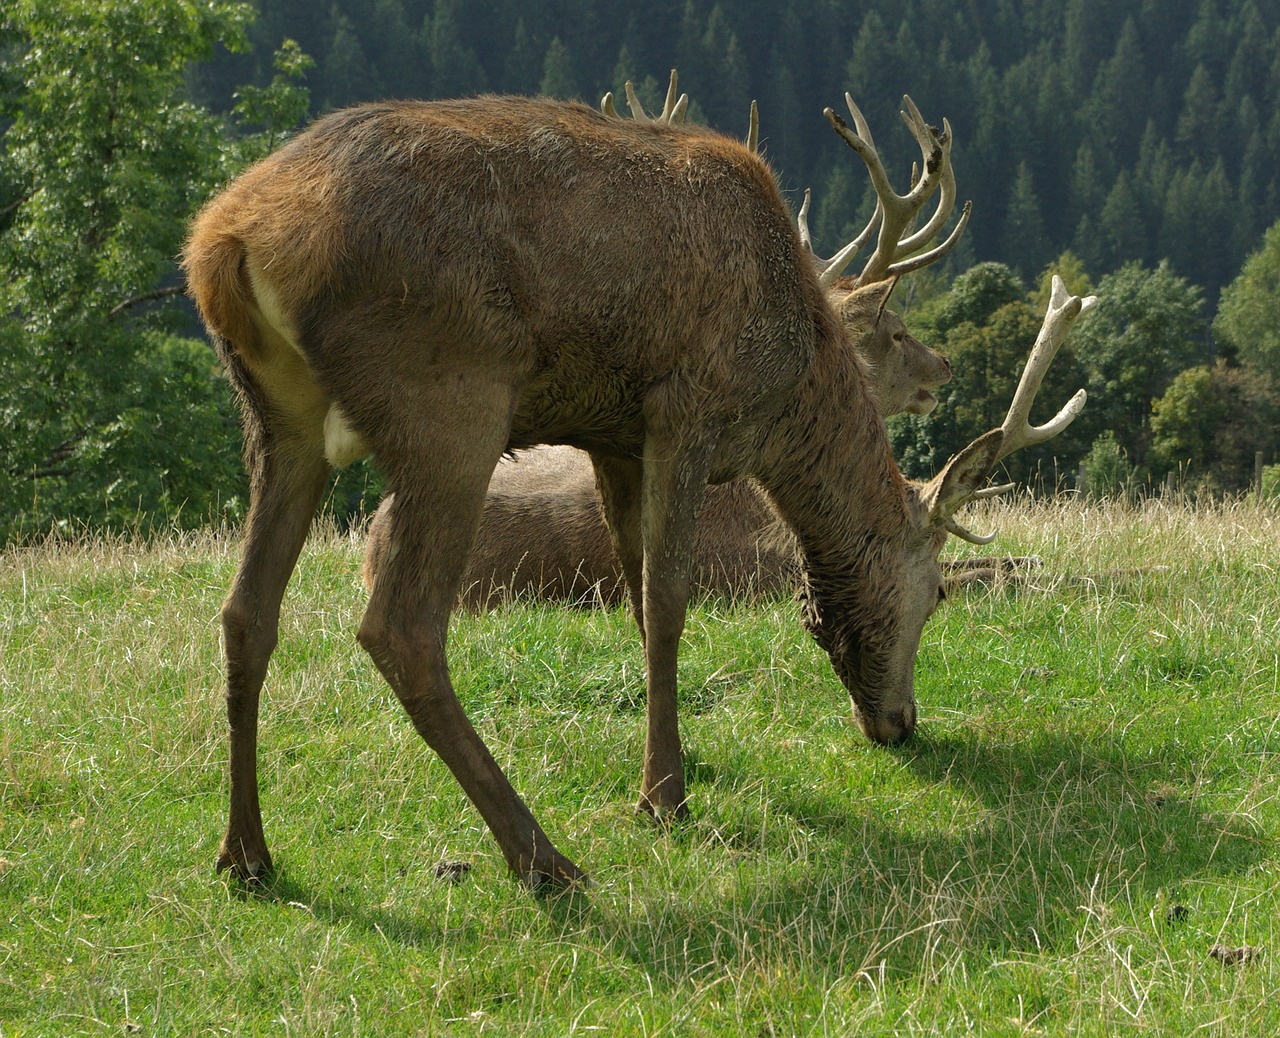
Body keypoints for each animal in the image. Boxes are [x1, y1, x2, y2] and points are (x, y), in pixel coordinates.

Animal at [183, 83, 1090, 890]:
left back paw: (246, 855)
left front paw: (677, 760)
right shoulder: (686, 405)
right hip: (451, 398)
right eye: (935, 594)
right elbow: (669, 600)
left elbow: (635, 596)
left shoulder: (611, 435)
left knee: (245, 612)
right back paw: (543, 859)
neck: (785, 391)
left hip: (280, 419)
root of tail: (223, 242)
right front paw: (664, 799)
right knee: (399, 628)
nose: (899, 722)